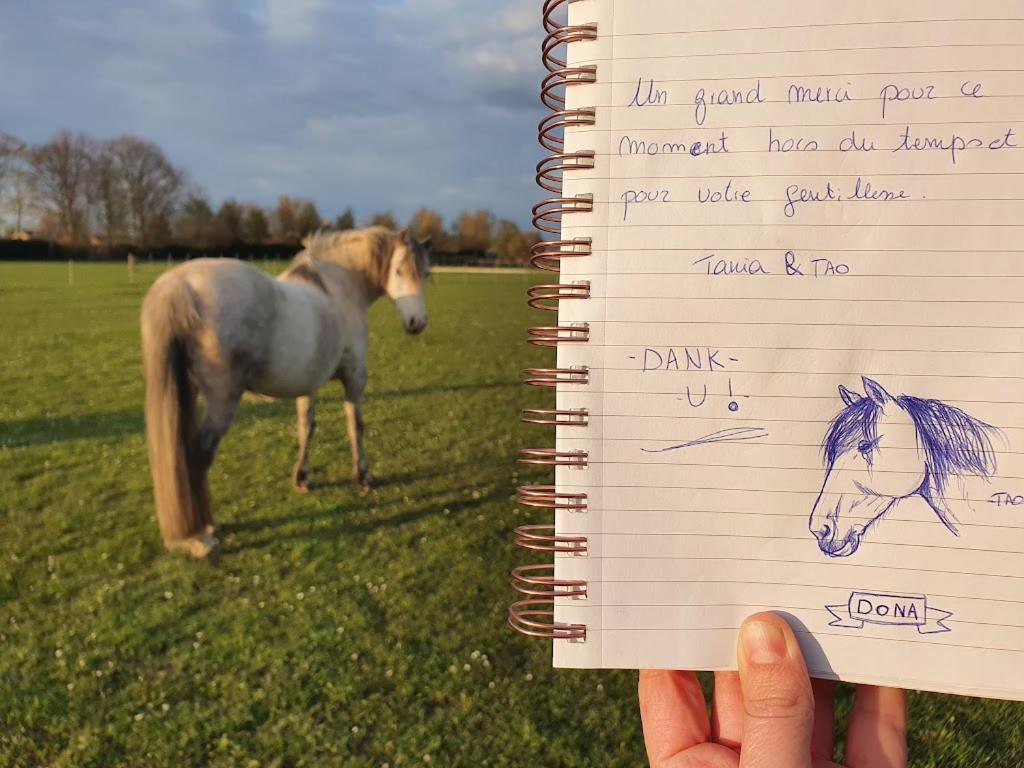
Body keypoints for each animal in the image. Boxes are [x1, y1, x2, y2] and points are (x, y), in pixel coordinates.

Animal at [140, 225, 428, 557]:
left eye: (426, 273)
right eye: (399, 270)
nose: (417, 323)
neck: (336, 290)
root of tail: (179, 285)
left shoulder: (308, 383)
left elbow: (306, 427)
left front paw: (302, 478)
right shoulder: (355, 379)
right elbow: (356, 427)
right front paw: (363, 477)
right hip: (221, 400)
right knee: (199, 456)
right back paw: (205, 531)